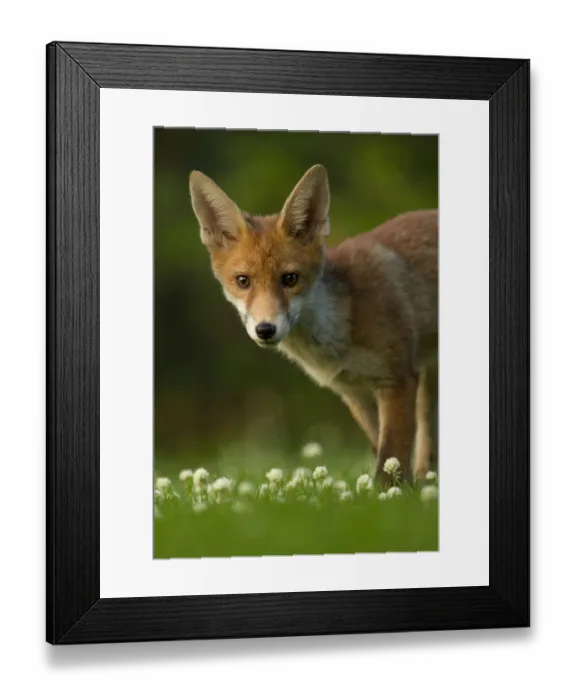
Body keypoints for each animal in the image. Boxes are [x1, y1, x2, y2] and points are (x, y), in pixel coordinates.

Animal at [188, 164, 438, 488]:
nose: (265, 330)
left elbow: (390, 455)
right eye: (243, 281)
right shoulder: (353, 392)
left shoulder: (398, 378)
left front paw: (390, 494)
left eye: (290, 278)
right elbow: (383, 451)